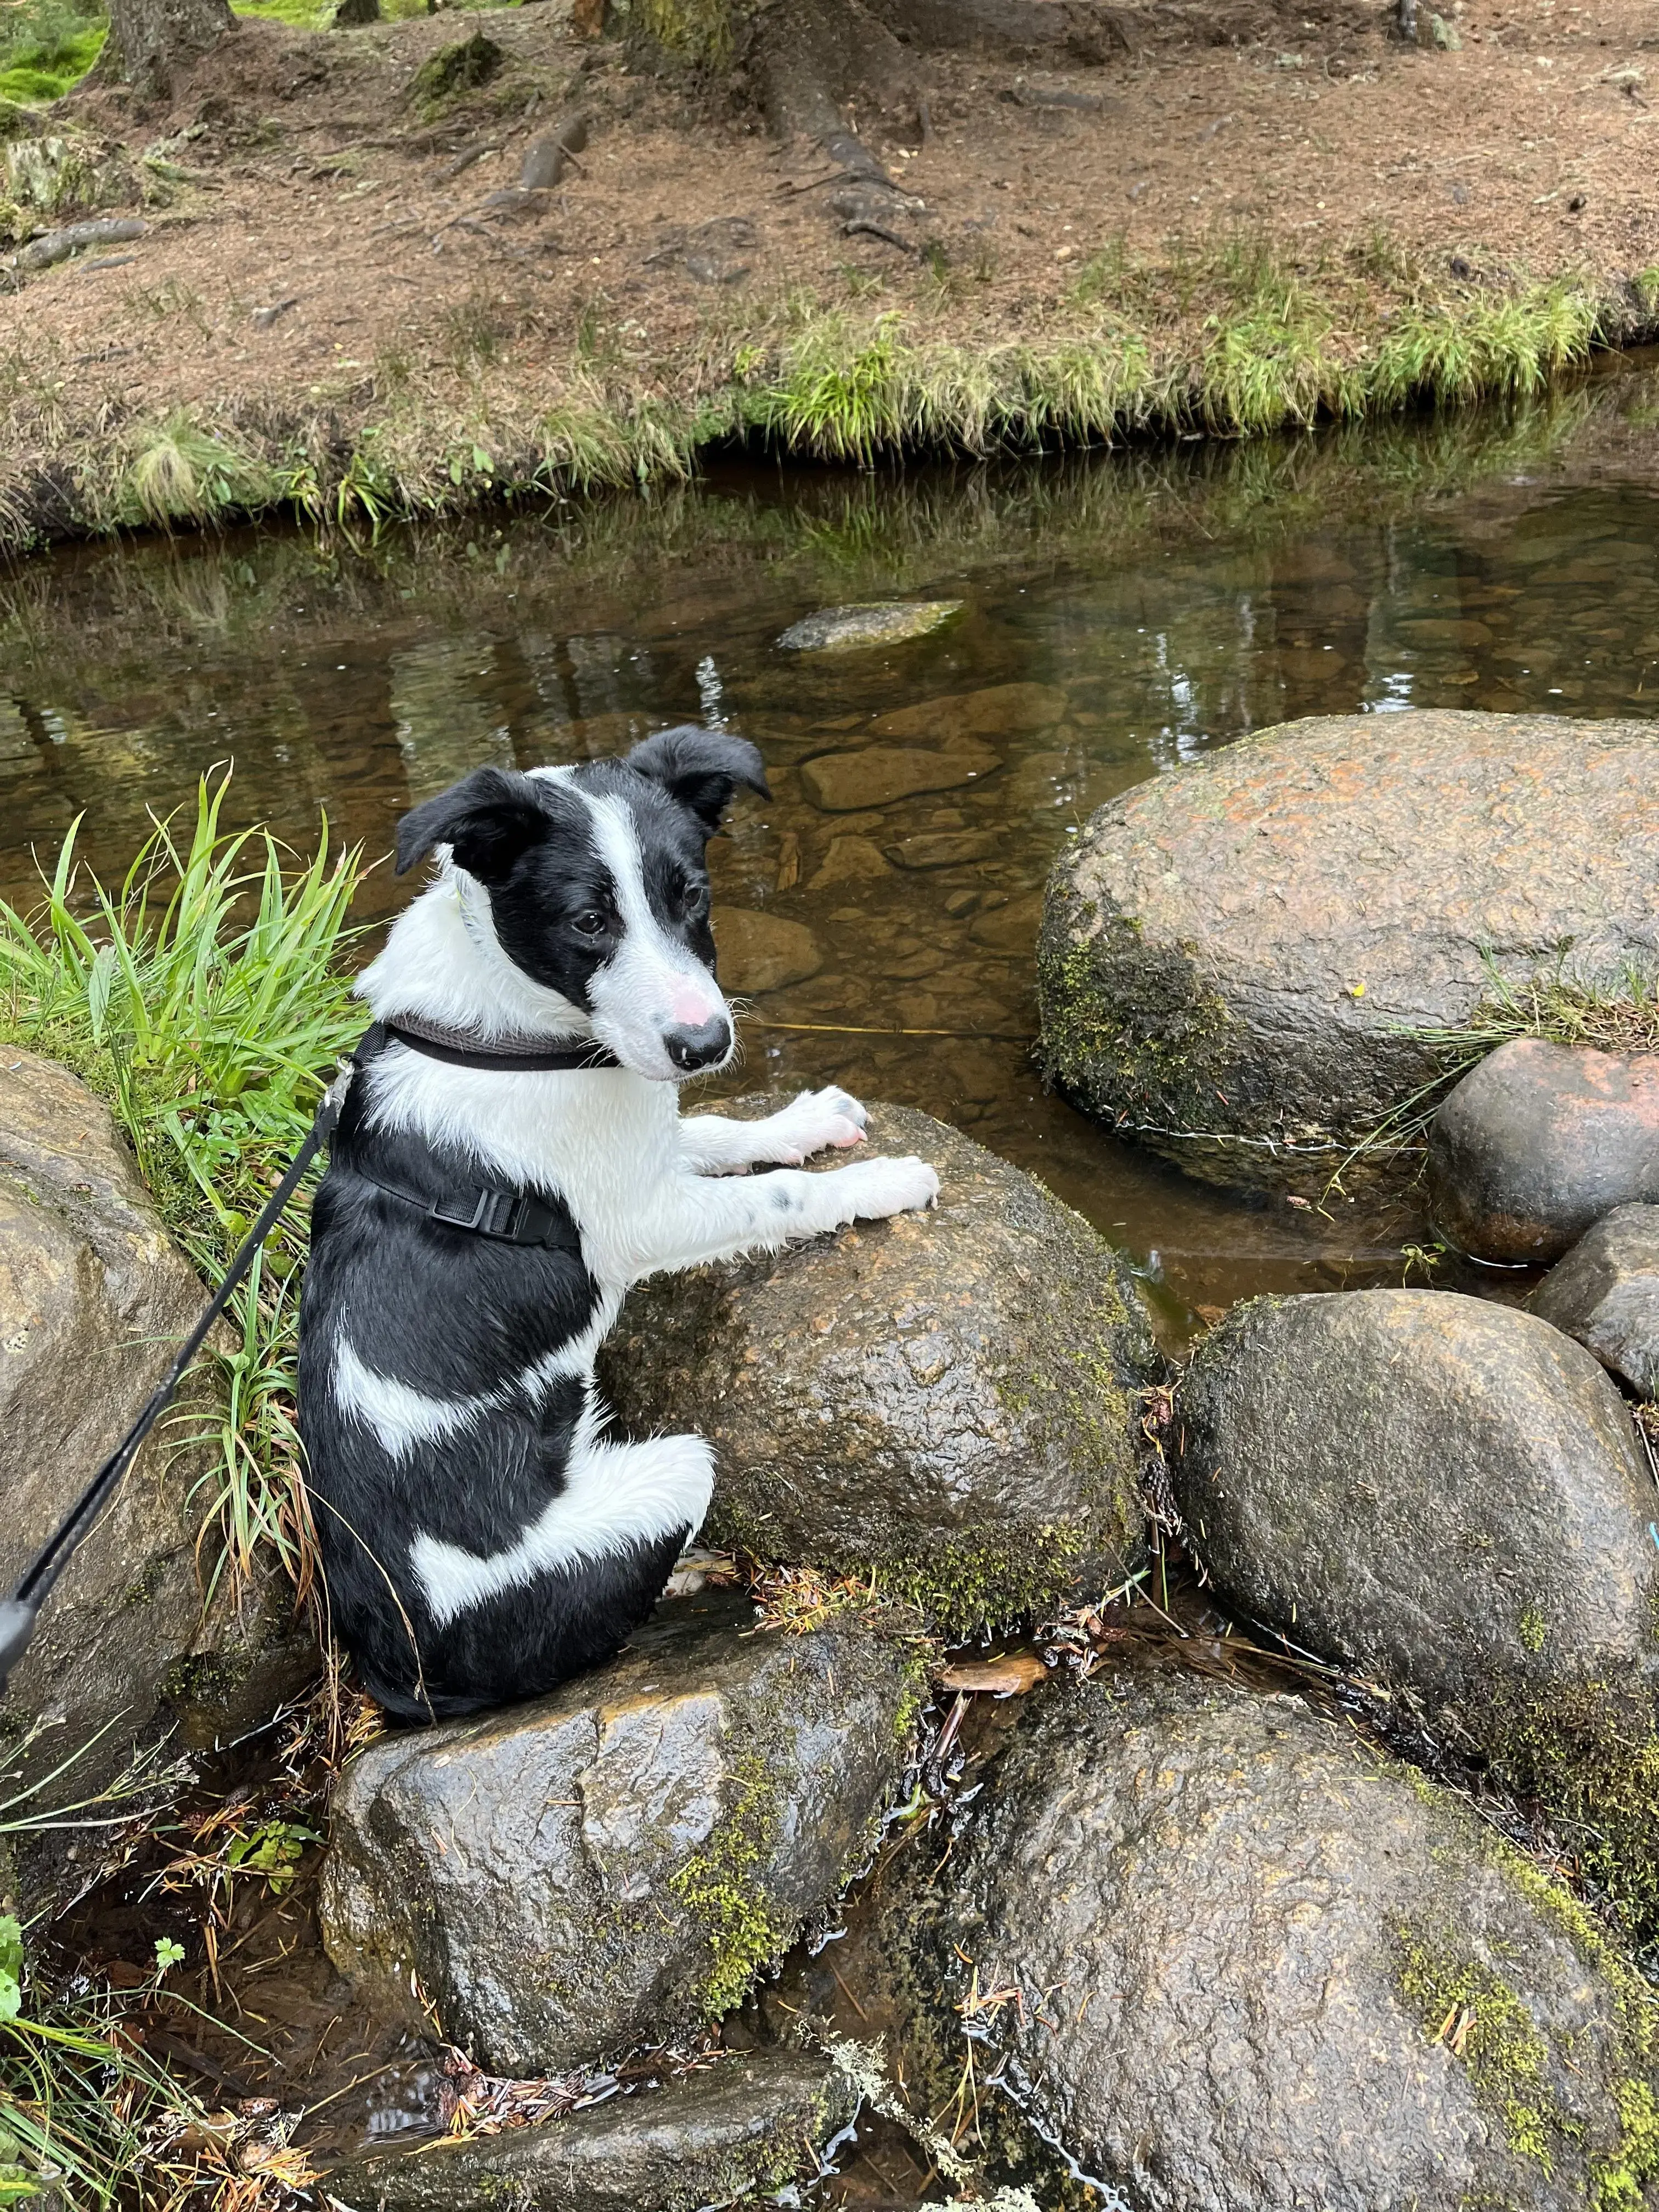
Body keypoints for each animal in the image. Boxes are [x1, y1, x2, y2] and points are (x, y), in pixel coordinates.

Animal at [298, 734, 942, 1716]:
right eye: (589, 923)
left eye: (693, 897)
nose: (706, 1045)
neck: (512, 1034)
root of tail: (402, 1670)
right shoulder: (641, 1218)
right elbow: (779, 1198)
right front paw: (880, 1183)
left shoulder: (649, 1148)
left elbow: (717, 1134)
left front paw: (804, 1123)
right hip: (675, 1469)